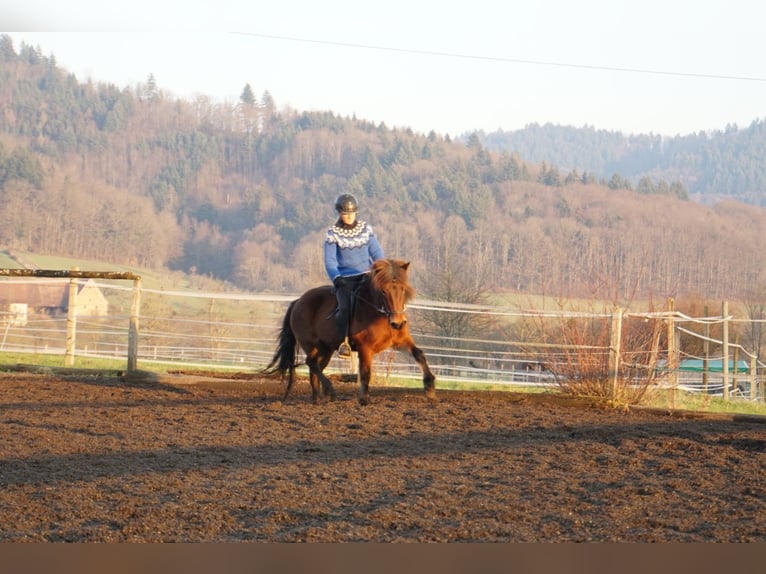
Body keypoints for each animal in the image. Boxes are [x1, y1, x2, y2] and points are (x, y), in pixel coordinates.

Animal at [263, 258, 436, 406]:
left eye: (403, 289)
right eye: (383, 291)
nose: (398, 322)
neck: (380, 314)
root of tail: (298, 301)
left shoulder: (401, 342)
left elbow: (419, 354)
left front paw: (430, 387)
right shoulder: (365, 348)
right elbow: (365, 372)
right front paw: (364, 399)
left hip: (325, 349)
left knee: (316, 368)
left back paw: (318, 399)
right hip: (310, 344)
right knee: (311, 363)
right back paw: (330, 391)